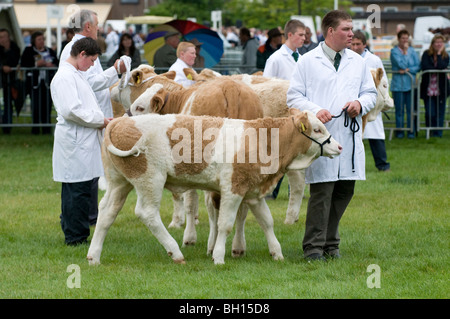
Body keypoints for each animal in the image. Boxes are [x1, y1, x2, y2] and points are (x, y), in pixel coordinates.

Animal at [87, 109, 342, 266]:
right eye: (318, 129)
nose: (339, 147)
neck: (261, 139)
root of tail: (121, 120)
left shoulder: (253, 192)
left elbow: (266, 222)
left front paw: (276, 253)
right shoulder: (233, 189)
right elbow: (225, 224)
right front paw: (218, 257)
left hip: (119, 183)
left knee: (107, 213)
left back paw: (94, 256)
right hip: (150, 179)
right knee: (147, 213)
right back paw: (176, 252)